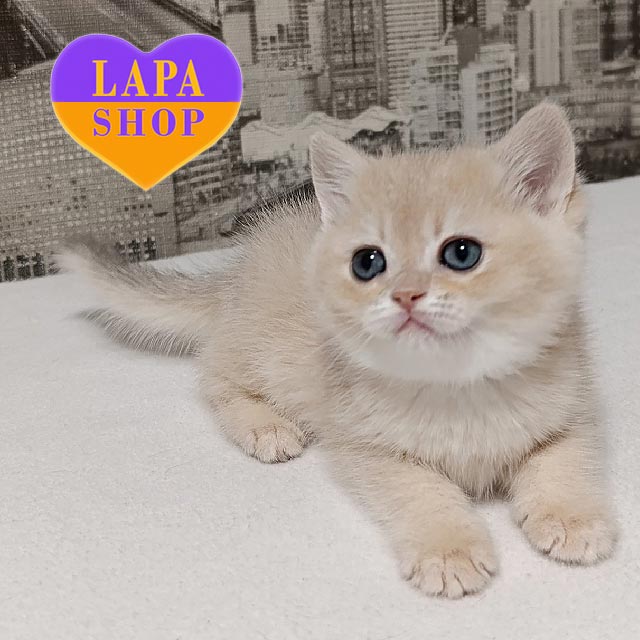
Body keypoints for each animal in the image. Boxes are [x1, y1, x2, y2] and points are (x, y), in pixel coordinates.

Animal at [61, 102, 617, 599]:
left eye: (462, 253)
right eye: (368, 263)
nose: (405, 296)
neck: (457, 382)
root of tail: (236, 274)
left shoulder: (574, 407)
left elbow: (564, 461)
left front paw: (573, 518)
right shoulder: (366, 446)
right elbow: (422, 492)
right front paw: (447, 550)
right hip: (260, 351)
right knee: (214, 376)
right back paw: (265, 427)